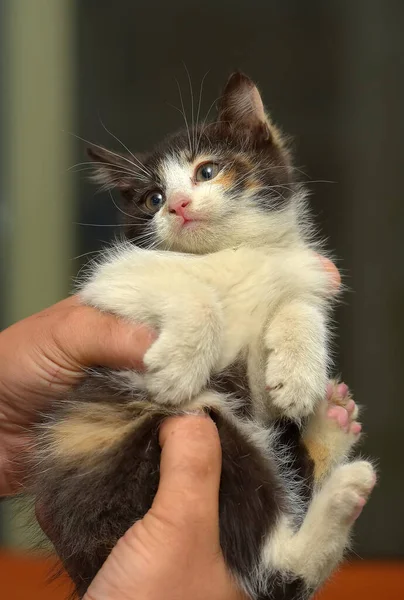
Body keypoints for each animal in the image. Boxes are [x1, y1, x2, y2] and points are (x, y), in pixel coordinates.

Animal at [31, 74, 376, 600]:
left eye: (207, 171)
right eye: (152, 198)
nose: (177, 205)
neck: (230, 253)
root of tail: (88, 558)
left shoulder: (294, 277)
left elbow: (298, 307)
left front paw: (298, 374)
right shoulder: (109, 282)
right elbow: (192, 293)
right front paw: (180, 365)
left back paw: (331, 429)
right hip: (184, 441)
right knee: (269, 566)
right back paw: (343, 483)